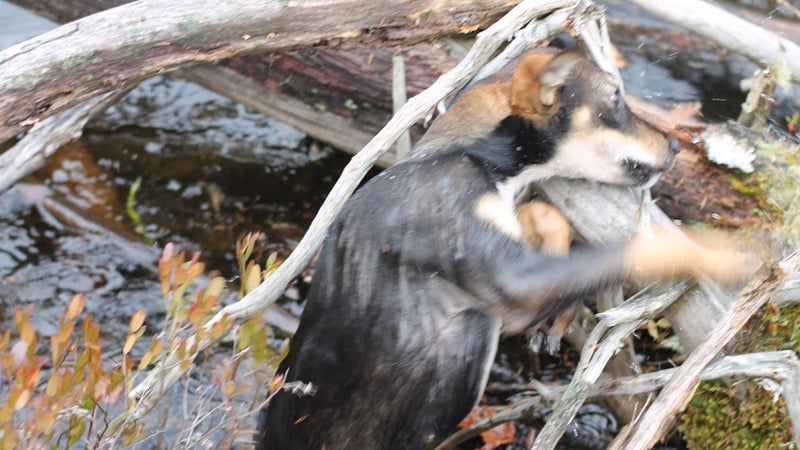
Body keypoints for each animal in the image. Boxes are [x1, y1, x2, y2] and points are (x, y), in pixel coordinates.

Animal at [258, 49, 756, 450]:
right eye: (615, 98)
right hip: (473, 332)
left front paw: (560, 315)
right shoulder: (510, 283)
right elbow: (633, 252)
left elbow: (550, 220)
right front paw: (723, 256)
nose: (675, 144)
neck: (470, 153)